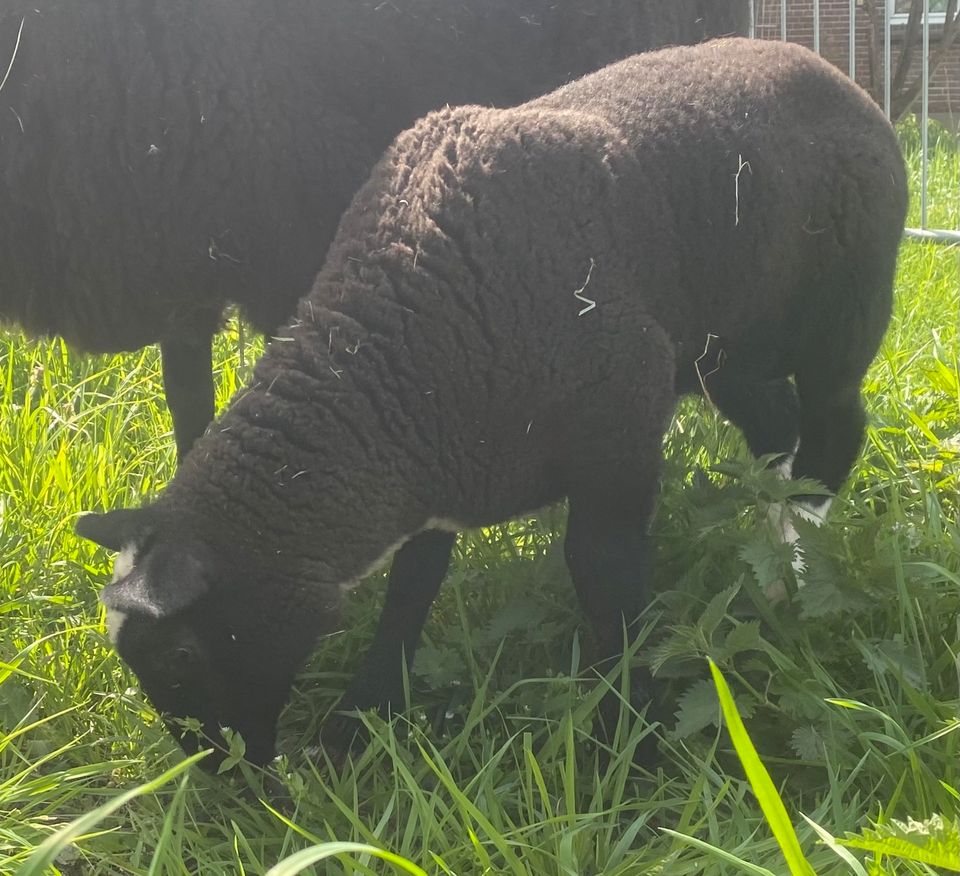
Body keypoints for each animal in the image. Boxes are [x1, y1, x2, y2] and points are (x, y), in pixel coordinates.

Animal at [77, 39, 908, 768]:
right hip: (715, 348)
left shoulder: (619, 432)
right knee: (777, 429)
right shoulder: (439, 465)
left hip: (838, 315)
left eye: (180, 657)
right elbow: (411, 587)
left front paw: (630, 741)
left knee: (834, 427)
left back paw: (797, 568)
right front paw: (362, 718)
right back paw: (768, 561)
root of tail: (826, 68)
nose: (216, 773)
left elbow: (604, 580)